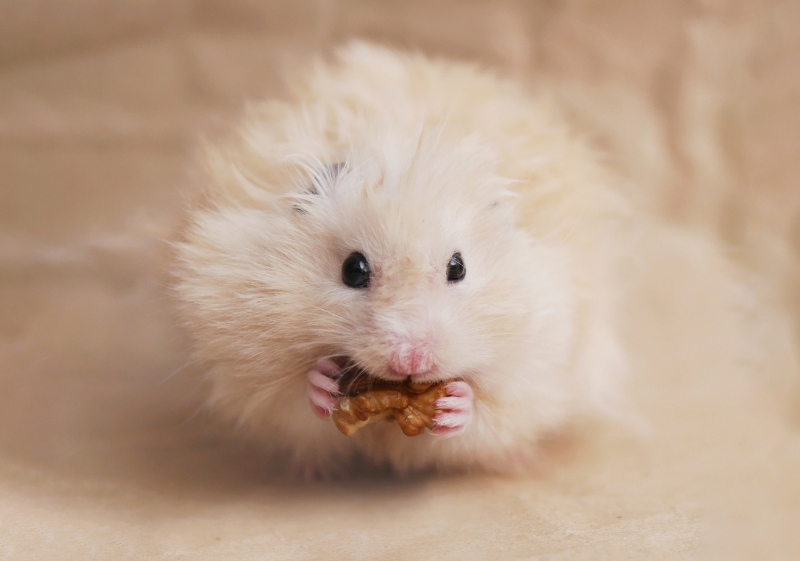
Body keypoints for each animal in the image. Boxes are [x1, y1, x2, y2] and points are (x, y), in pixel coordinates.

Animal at [171, 42, 630, 477]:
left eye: (457, 268)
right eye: (353, 269)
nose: (412, 360)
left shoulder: (540, 361)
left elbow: (487, 409)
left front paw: (456, 404)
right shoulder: (244, 355)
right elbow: (291, 395)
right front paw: (321, 383)